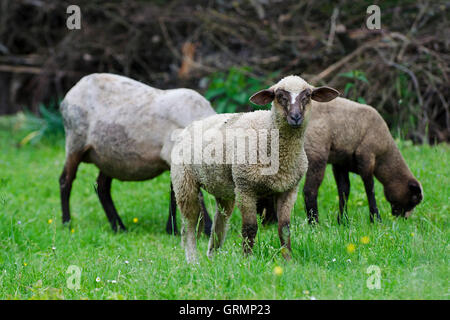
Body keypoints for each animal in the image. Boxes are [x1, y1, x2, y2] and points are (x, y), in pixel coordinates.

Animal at [59, 72, 216, 232]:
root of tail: (74, 89)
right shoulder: (174, 157)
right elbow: (191, 194)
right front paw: (206, 229)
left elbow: (177, 193)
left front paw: (173, 229)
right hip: (75, 142)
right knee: (65, 181)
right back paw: (67, 223)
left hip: (108, 157)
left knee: (102, 187)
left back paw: (119, 227)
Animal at [171, 75, 340, 262]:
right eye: (279, 96)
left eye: (308, 96)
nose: (296, 117)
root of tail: (189, 126)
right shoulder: (246, 188)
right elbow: (250, 228)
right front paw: (247, 259)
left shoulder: (289, 189)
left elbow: (284, 228)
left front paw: (288, 260)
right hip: (184, 182)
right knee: (189, 224)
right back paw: (193, 260)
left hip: (223, 189)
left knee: (220, 221)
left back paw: (212, 257)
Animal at [256, 96, 422, 224]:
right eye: (413, 199)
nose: (403, 219)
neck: (385, 154)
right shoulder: (366, 156)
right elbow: (370, 188)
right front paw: (375, 219)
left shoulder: (340, 163)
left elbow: (344, 190)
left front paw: (343, 221)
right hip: (317, 153)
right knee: (309, 190)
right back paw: (314, 223)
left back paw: (268, 220)